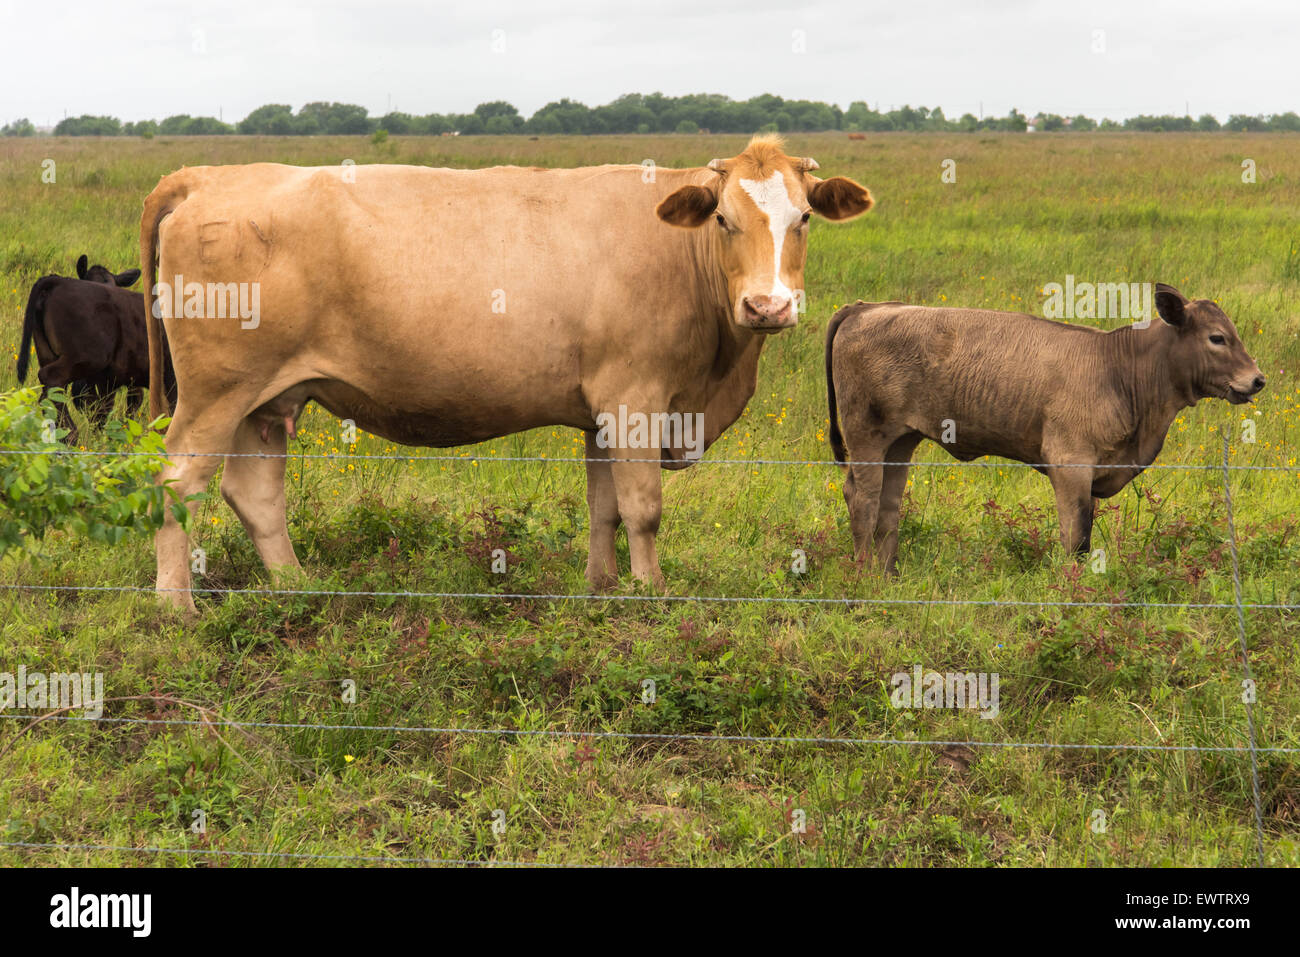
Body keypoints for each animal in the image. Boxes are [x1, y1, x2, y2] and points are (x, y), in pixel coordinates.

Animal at [17, 255, 176, 443]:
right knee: (51, 379)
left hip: (48, 353)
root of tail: (59, 281)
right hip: (87, 357)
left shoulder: (112, 381)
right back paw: (70, 435)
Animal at [140, 135, 874, 610]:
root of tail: (208, 175)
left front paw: (602, 589)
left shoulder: (601, 409)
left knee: (255, 495)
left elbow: (604, 506)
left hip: (264, 400)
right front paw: (651, 596)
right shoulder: (635, 398)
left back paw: (297, 587)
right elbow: (642, 508)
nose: (767, 306)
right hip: (214, 395)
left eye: (804, 217)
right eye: (723, 218)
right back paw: (177, 609)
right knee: (178, 484)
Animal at [824, 285, 1266, 572]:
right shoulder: (1071, 466)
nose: (1257, 379)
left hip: (901, 441)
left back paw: (887, 575)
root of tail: (865, 308)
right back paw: (864, 574)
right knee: (861, 499)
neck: (1118, 368)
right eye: (1217, 338)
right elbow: (1076, 537)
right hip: (866, 436)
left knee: (888, 505)